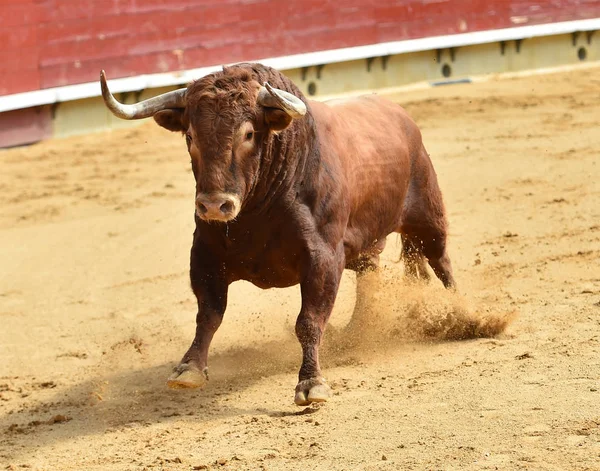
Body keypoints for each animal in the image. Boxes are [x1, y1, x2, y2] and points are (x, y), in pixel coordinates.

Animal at [99, 62, 454, 406]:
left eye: (248, 133)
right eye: (189, 135)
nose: (214, 206)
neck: (259, 207)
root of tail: (401, 115)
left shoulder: (323, 258)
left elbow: (309, 321)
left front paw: (311, 384)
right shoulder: (205, 255)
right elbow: (209, 315)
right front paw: (189, 369)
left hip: (428, 218)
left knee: (442, 264)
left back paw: (459, 315)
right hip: (369, 244)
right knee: (370, 275)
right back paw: (357, 330)